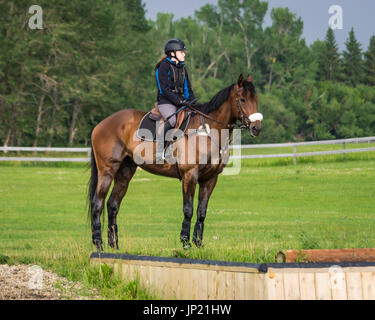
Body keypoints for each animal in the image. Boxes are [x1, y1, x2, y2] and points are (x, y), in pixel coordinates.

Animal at [88, 74, 264, 251]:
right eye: (242, 99)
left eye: (255, 99)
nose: (256, 128)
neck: (206, 131)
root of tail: (100, 125)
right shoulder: (189, 176)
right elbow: (188, 209)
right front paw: (185, 242)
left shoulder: (210, 179)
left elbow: (202, 212)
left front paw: (198, 243)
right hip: (107, 171)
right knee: (97, 204)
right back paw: (98, 244)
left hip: (125, 173)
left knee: (112, 205)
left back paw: (114, 246)